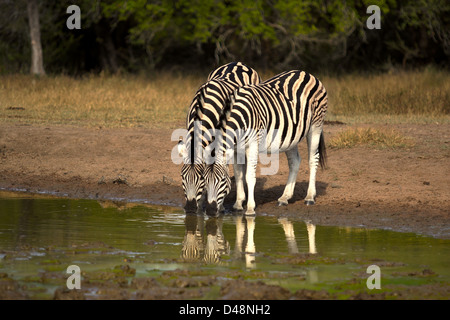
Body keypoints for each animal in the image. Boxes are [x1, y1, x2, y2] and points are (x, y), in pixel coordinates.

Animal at [211, 70, 326, 215]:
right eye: (204, 180)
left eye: (221, 180)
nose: (211, 210)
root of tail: (307, 73)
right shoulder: (237, 149)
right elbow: (238, 175)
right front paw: (238, 204)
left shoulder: (252, 145)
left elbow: (249, 176)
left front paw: (250, 208)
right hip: (291, 136)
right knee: (294, 162)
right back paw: (284, 197)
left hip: (316, 126)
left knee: (313, 159)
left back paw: (310, 197)